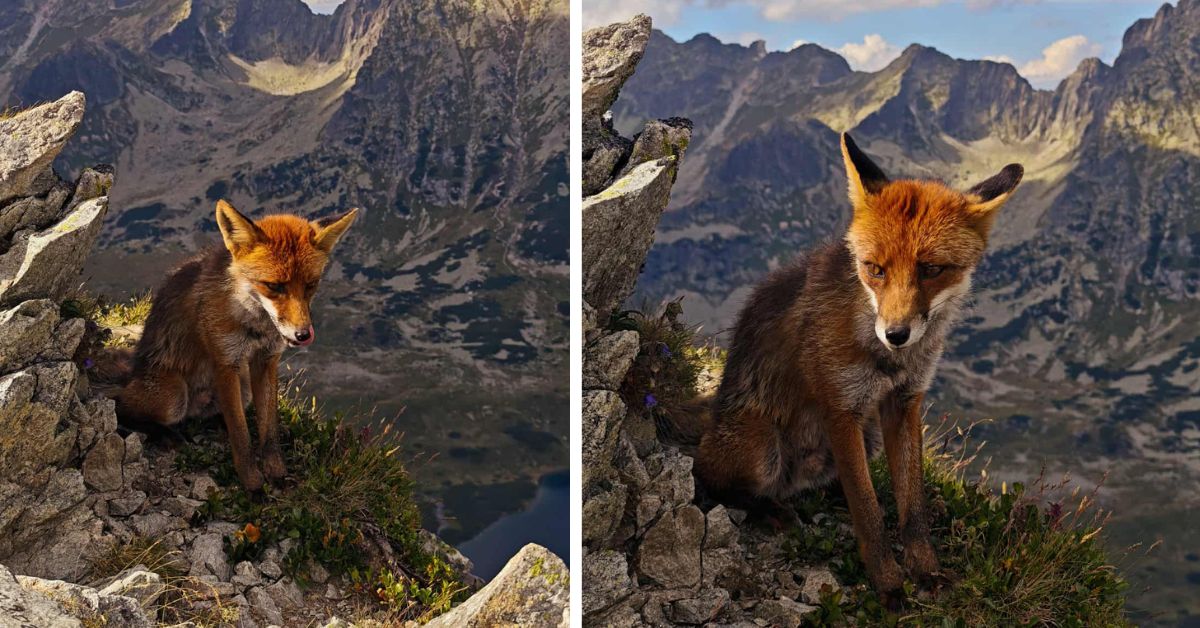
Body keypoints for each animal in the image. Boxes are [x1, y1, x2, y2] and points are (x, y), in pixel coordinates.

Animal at [107, 200, 358, 491]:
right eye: (274, 286)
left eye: (310, 285)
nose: (303, 335)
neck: (255, 327)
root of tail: (132, 373)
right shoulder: (226, 363)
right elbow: (241, 437)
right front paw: (253, 486)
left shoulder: (265, 361)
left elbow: (269, 430)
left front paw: (277, 474)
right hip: (174, 396)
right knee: (122, 406)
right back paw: (164, 433)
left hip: (243, 387)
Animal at [691, 133, 1022, 604]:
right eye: (875, 269)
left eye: (932, 269)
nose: (897, 333)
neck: (889, 361)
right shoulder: (841, 408)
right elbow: (868, 515)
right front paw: (889, 587)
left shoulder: (903, 403)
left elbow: (912, 506)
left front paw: (926, 570)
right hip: (762, 449)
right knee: (712, 480)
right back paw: (771, 508)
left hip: (867, 438)